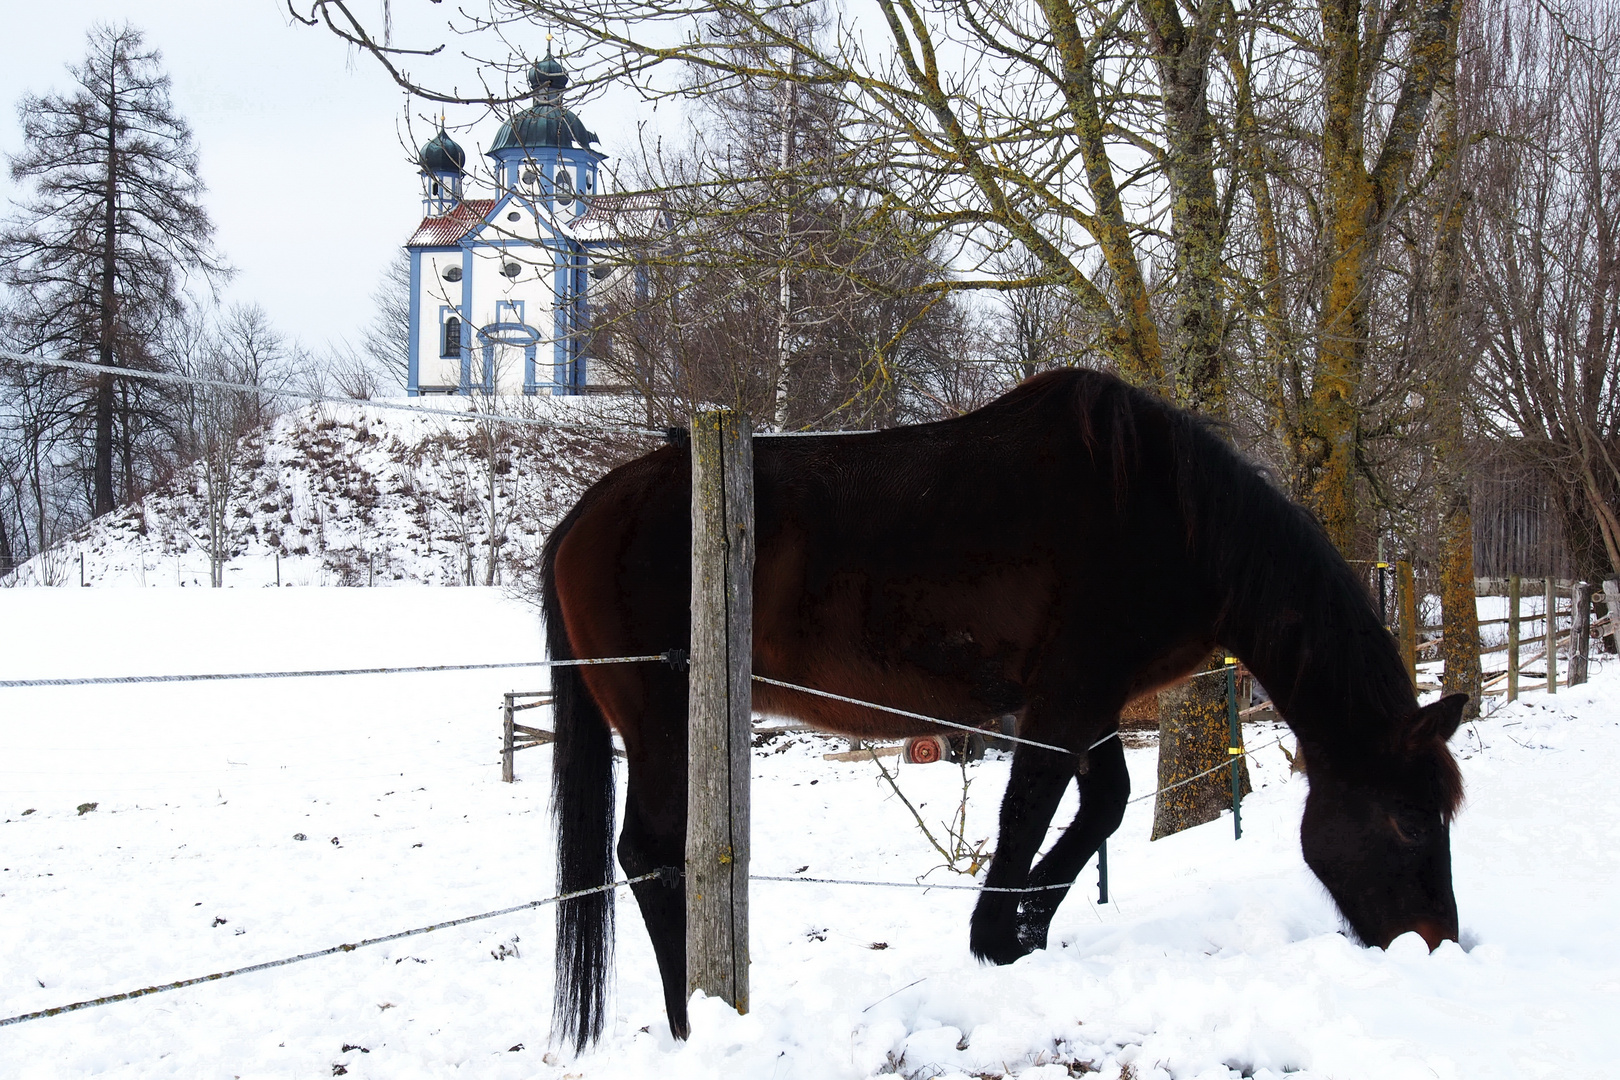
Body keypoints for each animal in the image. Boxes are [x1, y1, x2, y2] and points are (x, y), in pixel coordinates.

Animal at [537, 367, 1464, 1049]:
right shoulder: (1063, 703)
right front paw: (998, 938)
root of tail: (582, 516)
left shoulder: (1090, 703)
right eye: (1412, 820)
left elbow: (1102, 808)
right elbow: (1030, 815)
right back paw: (693, 1026)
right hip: (661, 726)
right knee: (650, 854)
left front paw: (1027, 931)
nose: (1437, 943)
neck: (1168, 516)